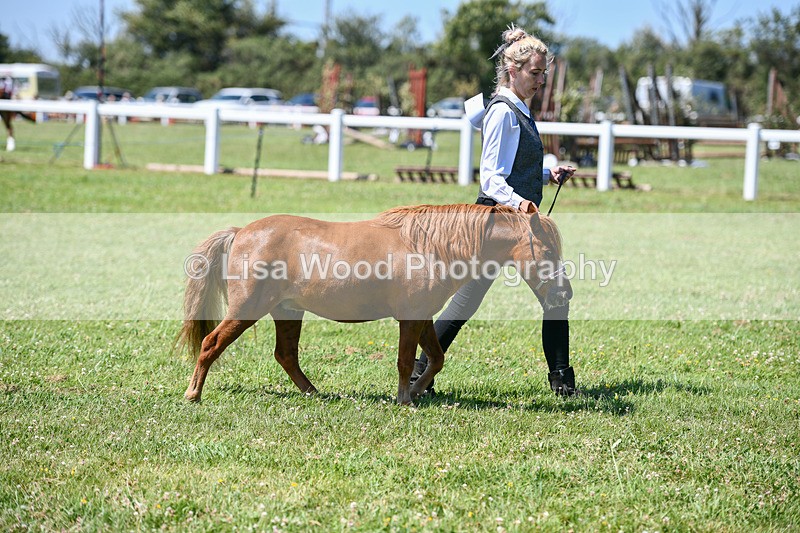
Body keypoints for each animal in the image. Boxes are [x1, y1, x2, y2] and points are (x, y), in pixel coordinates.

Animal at [176, 204, 571, 405]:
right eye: (547, 252)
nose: (563, 294)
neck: (428, 246)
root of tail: (241, 233)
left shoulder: (422, 317)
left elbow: (435, 359)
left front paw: (416, 390)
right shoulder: (410, 318)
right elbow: (404, 360)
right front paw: (405, 399)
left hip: (288, 311)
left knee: (285, 355)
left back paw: (315, 393)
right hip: (248, 310)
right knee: (211, 343)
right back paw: (193, 393)